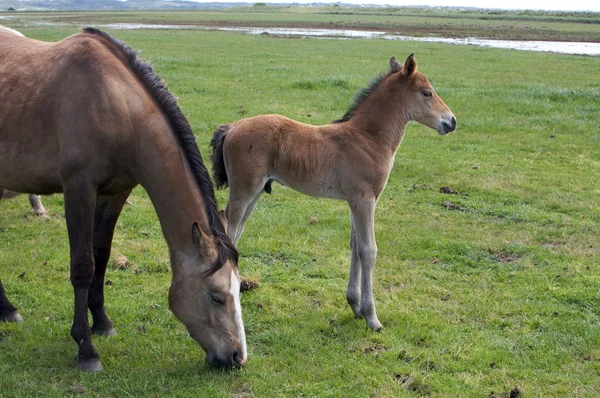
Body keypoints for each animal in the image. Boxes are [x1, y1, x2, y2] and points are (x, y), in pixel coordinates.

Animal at [0, 27, 247, 370]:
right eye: (216, 296)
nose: (238, 356)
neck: (115, 104)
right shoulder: (79, 190)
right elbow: (83, 266)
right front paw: (86, 348)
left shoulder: (116, 194)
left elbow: (101, 256)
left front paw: (102, 323)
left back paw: (6, 309)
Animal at [210, 54, 454, 332]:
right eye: (427, 93)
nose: (451, 121)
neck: (367, 139)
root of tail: (232, 127)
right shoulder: (365, 199)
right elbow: (368, 250)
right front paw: (372, 317)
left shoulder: (356, 201)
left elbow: (355, 245)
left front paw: (355, 306)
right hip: (244, 189)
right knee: (229, 229)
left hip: (255, 192)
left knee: (237, 229)